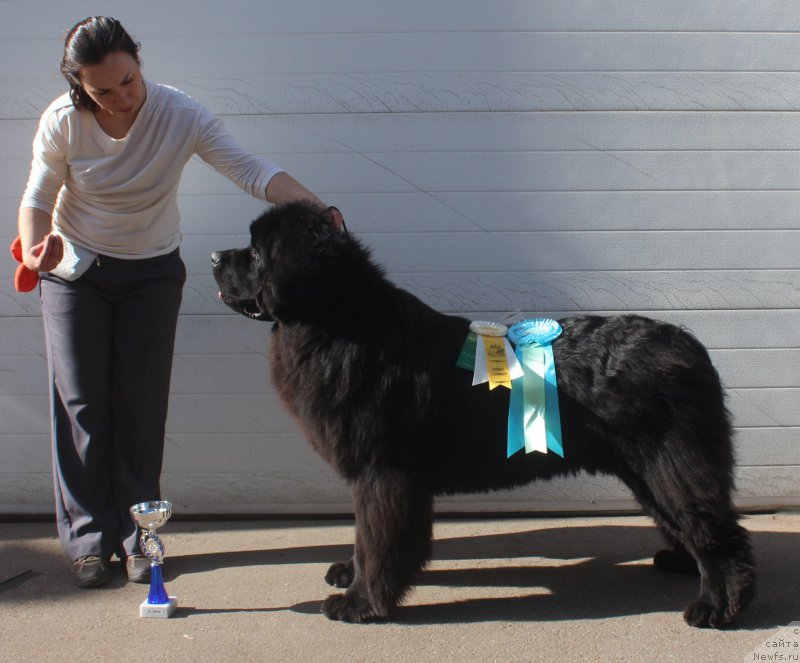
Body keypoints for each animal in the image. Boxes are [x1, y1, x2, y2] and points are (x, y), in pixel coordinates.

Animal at [209, 201, 752, 628]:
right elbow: (367, 539)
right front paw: (350, 574)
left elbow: (377, 541)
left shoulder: (382, 473)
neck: (341, 324)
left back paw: (718, 607)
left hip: (668, 462)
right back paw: (682, 562)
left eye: (255, 253)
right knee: (687, 520)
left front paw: (361, 603)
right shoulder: (377, 476)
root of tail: (686, 345)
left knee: (716, 530)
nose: (213, 256)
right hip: (649, 469)